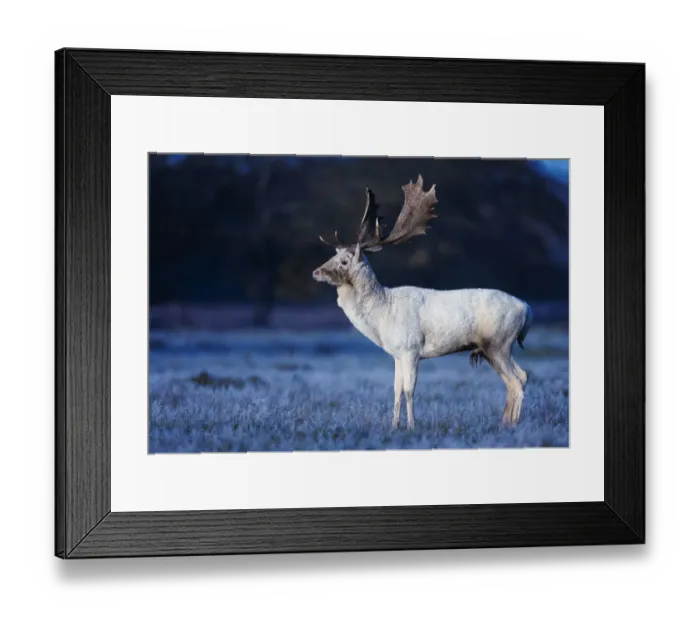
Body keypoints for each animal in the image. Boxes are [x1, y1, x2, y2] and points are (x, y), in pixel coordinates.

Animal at [312, 175, 533, 431]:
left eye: (344, 261)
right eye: (333, 256)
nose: (316, 271)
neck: (382, 315)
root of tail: (528, 309)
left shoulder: (411, 349)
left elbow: (409, 390)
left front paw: (412, 426)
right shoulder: (397, 353)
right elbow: (396, 390)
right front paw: (394, 425)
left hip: (498, 343)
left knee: (518, 379)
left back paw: (512, 424)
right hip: (496, 348)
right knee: (518, 379)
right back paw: (506, 422)